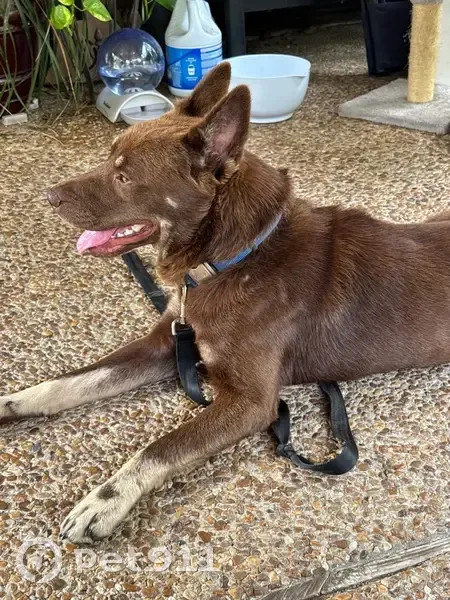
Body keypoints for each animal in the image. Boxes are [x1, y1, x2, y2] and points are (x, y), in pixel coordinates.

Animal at [1, 63, 450, 543]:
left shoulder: (251, 402)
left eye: (124, 178)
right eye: (109, 157)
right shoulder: (166, 343)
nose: (49, 197)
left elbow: (163, 446)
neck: (233, 259)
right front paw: (11, 403)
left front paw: (106, 498)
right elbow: (72, 382)